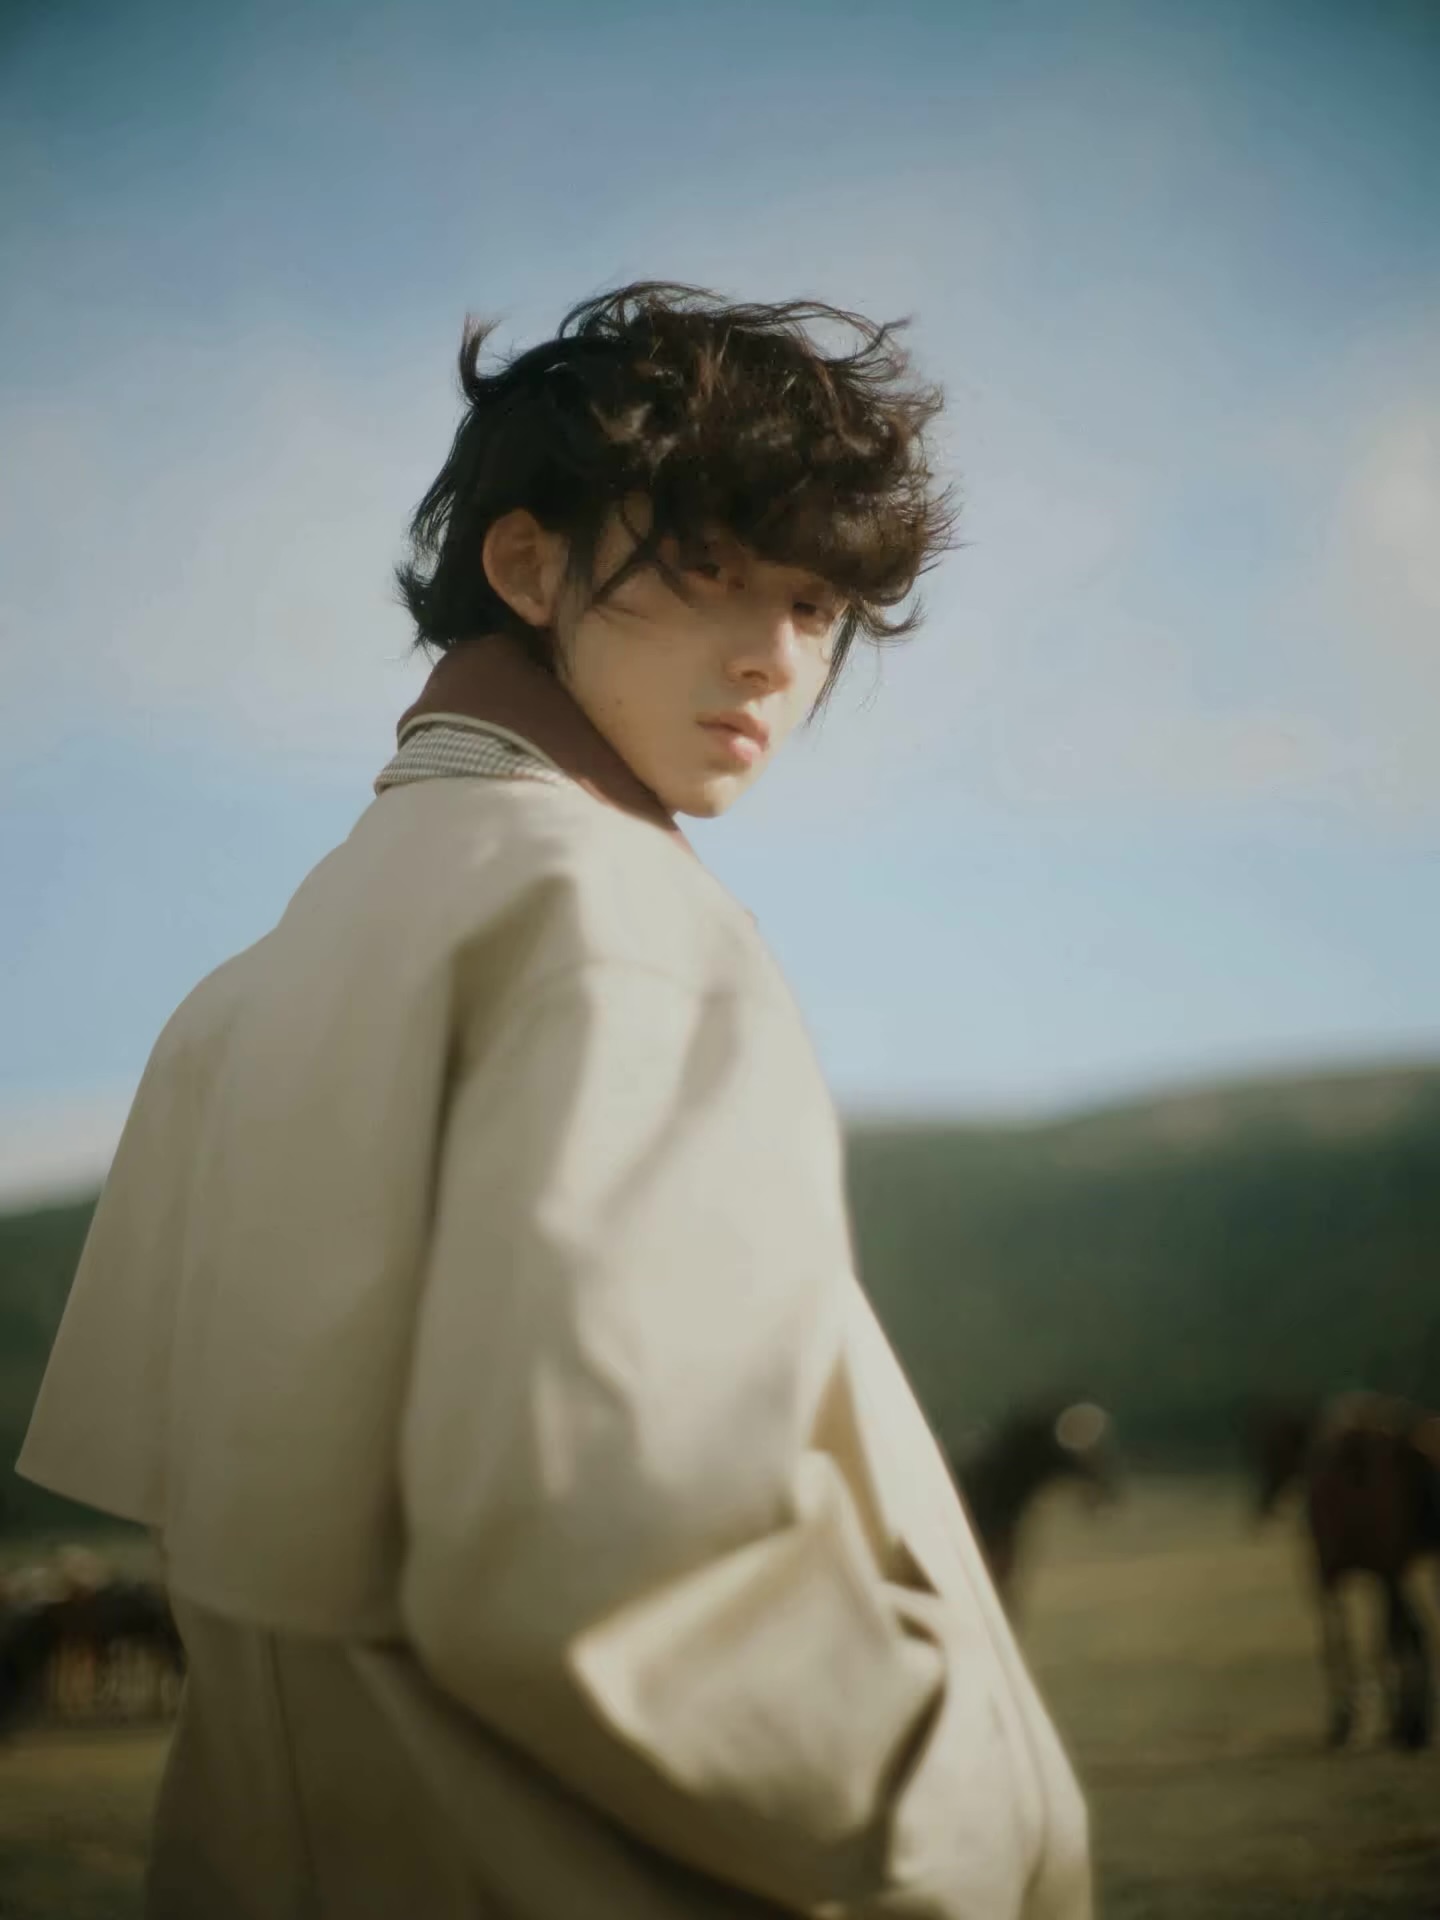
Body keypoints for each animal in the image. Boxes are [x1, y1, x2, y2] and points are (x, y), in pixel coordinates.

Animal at [1244, 1391, 1440, 1750]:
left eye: (1270, 1452)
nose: (1261, 1506)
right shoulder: (1369, 1573)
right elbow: (1371, 1638)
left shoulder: (1325, 1575)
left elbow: (1346, 1638)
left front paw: (1352, 1716)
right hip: (1388, 1570)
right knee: (1402, 1633)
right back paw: (1405, 1721)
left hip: (1376, 1572)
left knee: (1400, 1634)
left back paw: (1400, 1721)